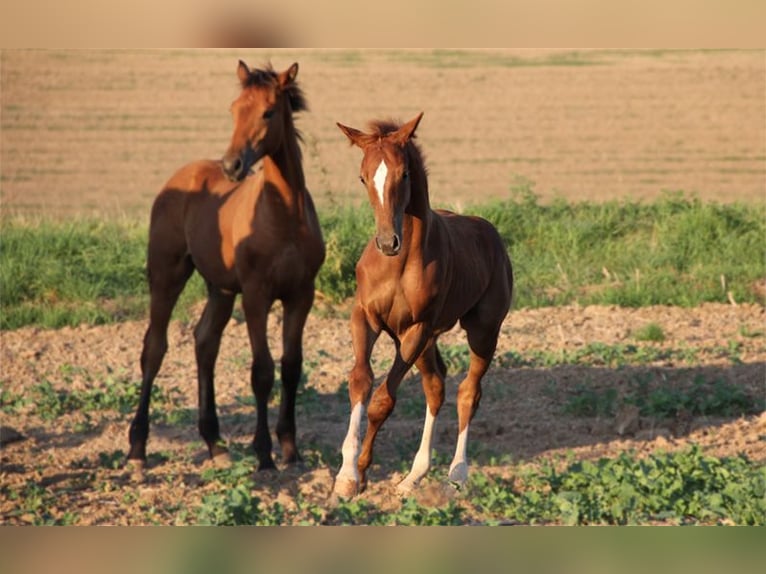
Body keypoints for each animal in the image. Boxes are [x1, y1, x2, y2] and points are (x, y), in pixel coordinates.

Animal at [127, 62, 326, 472]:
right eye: (234, 110)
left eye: (268, 112)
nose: (233, 165)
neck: (283, 217)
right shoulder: (256, 295)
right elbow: (262, 371)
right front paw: (264, 454)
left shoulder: (301, 295)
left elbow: (291, 366)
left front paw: (290, 448)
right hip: (167, 274)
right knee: (154, 348)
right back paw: (137, 449)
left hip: (220, 288)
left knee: (205, 342)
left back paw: (215, 443)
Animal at [336, 113, 516, 500]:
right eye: (362, 177)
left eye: (404, 174)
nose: (387, 242)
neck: (398, 264)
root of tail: (491, 233)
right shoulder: (365, 317)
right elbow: (361, 382)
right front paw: (347, 475)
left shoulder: (415, 329)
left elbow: (382, 401)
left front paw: (360, 469)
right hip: (427, 341)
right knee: (436, 388)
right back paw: (413, 476)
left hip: (482, 331)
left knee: (468, 392)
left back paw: (457, 474)